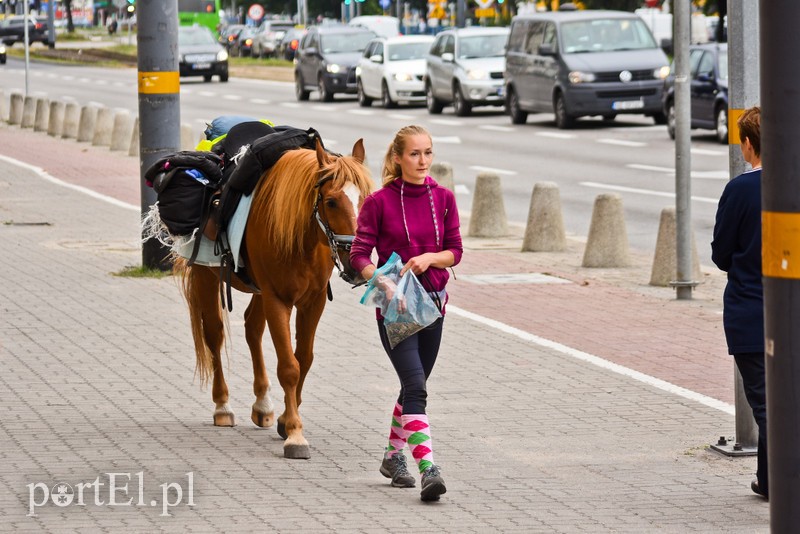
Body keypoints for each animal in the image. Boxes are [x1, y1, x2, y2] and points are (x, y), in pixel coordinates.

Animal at [175, 138, 372, 460]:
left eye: (367, 199)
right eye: (331, 202)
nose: (357, 265)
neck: (301, 237)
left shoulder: (313, 302)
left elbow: (304, 358)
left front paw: (283, 420)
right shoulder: (277, 299)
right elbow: (289, 367)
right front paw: (294, 434)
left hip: (259, 292)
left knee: (252, 329)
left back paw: (262, 405)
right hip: (209, 277)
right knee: (214, 334)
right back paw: (222, 406)